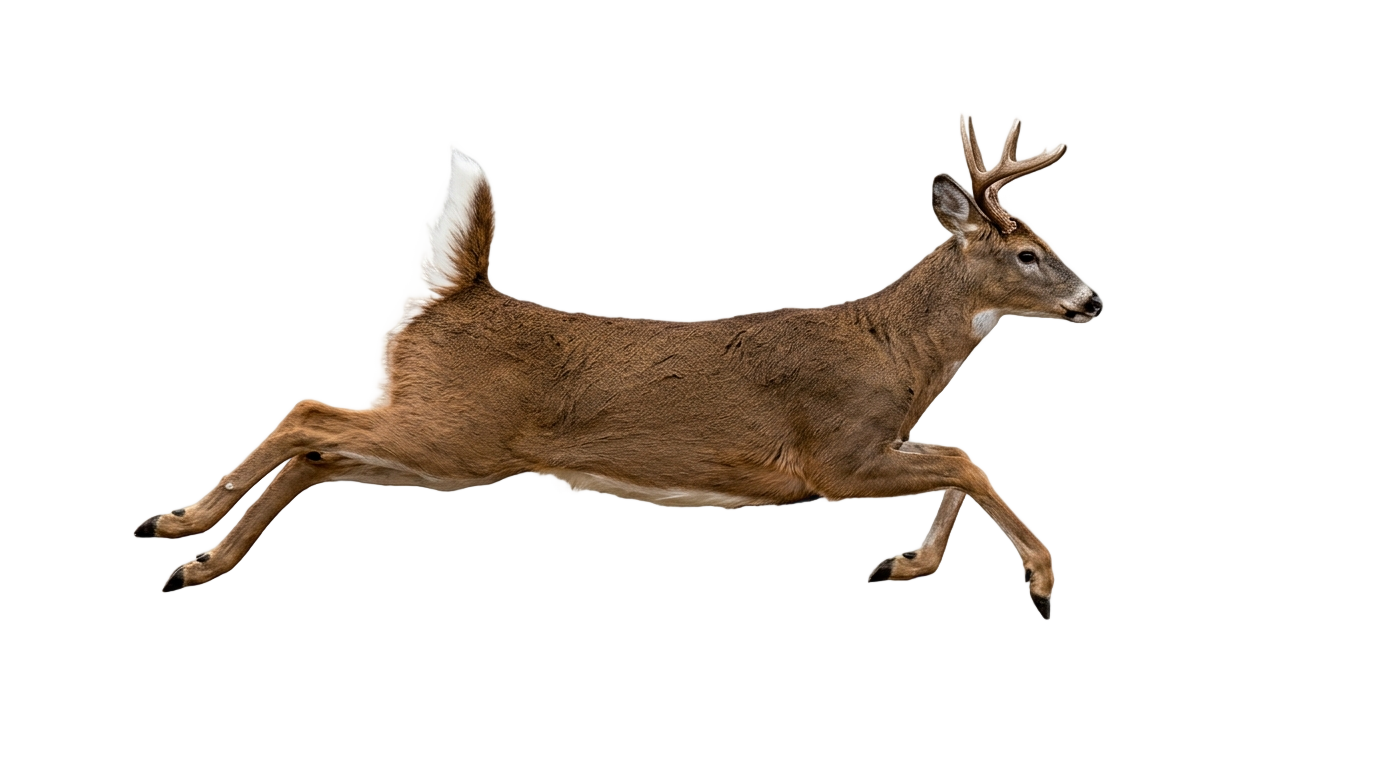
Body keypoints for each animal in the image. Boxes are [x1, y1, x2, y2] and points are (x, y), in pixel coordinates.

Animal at [132, 116, 1101, 620]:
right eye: (1027, 254)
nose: (1093, 300)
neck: (893, 350)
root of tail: (457, 292)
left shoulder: (860, 456)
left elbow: (959, 465)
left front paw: (905, 565)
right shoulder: (832, 457)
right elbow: (968, 462)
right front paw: (1042, 581)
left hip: (457, 447)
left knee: (319, 453)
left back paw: (193, 560)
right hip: (449, 430)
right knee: (308, 416)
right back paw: (180, 525)